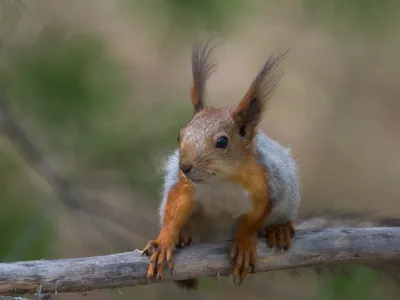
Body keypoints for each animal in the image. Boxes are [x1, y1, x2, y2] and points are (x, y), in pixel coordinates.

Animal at [141, 41, 300, 288]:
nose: (184, 167)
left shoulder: (266, 186)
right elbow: (174, 209)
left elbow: (254, 220)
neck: (222, 180)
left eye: (222, 141)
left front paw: (243, 244)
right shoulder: (186, 186)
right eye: (180, 135)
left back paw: (280, 229)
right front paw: (165, 241)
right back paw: (183, 238)